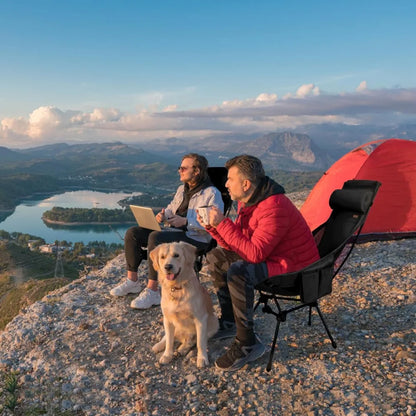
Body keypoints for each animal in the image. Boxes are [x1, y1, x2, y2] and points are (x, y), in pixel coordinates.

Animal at [150, 240, 221, 368]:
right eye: (162, 257)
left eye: (176, 255)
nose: (168, 266)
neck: (176, 287)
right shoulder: (167, 319)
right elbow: (169, 341)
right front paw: (167, 355)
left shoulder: (200, 319)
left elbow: (200, 342)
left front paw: (202, 358)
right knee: (167, 338)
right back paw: (159, 346)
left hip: (214, 322)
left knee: (191, 341)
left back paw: (182, 349)